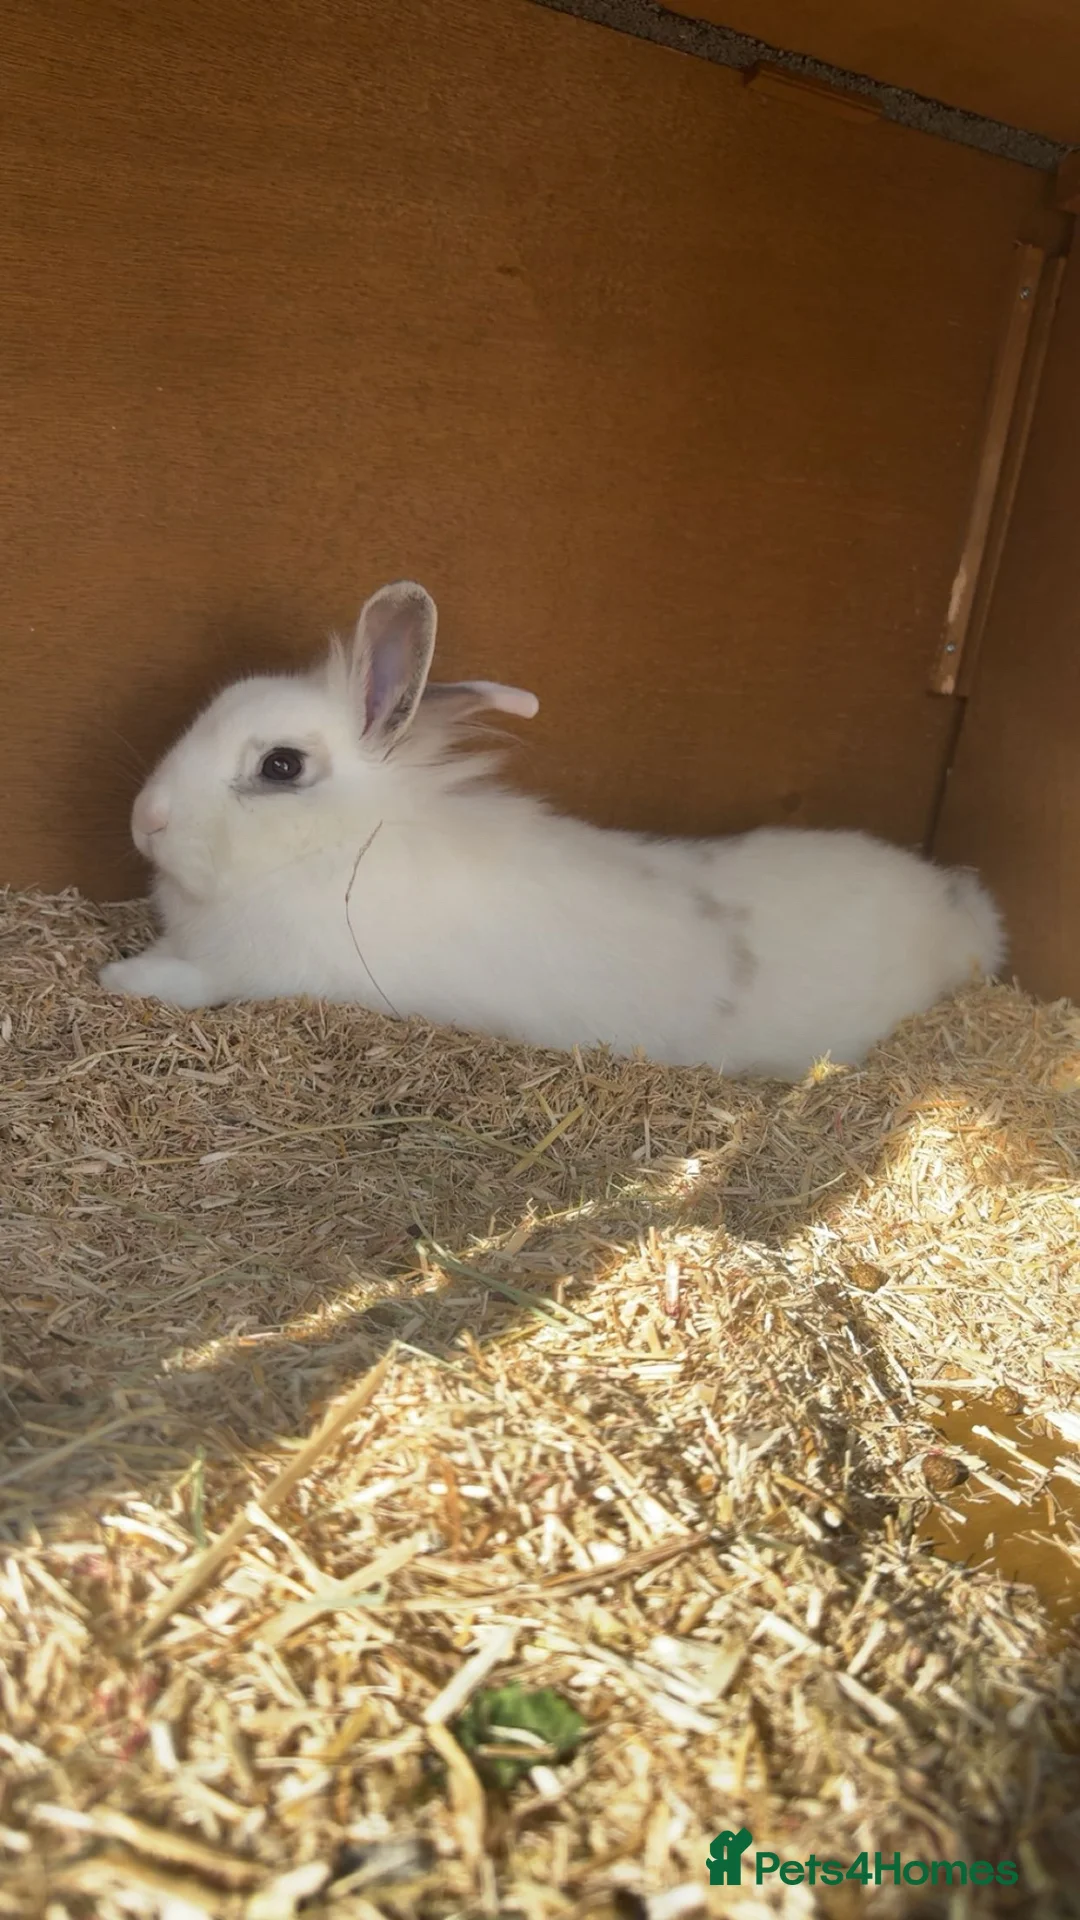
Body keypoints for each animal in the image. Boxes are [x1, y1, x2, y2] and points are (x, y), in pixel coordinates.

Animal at [99, 578, 1006, 1080]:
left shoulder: (270, 971)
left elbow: (191, 984)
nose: (144, 821)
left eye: (281, 766)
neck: (335, 845)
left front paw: (121, 978)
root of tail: (961, 919)